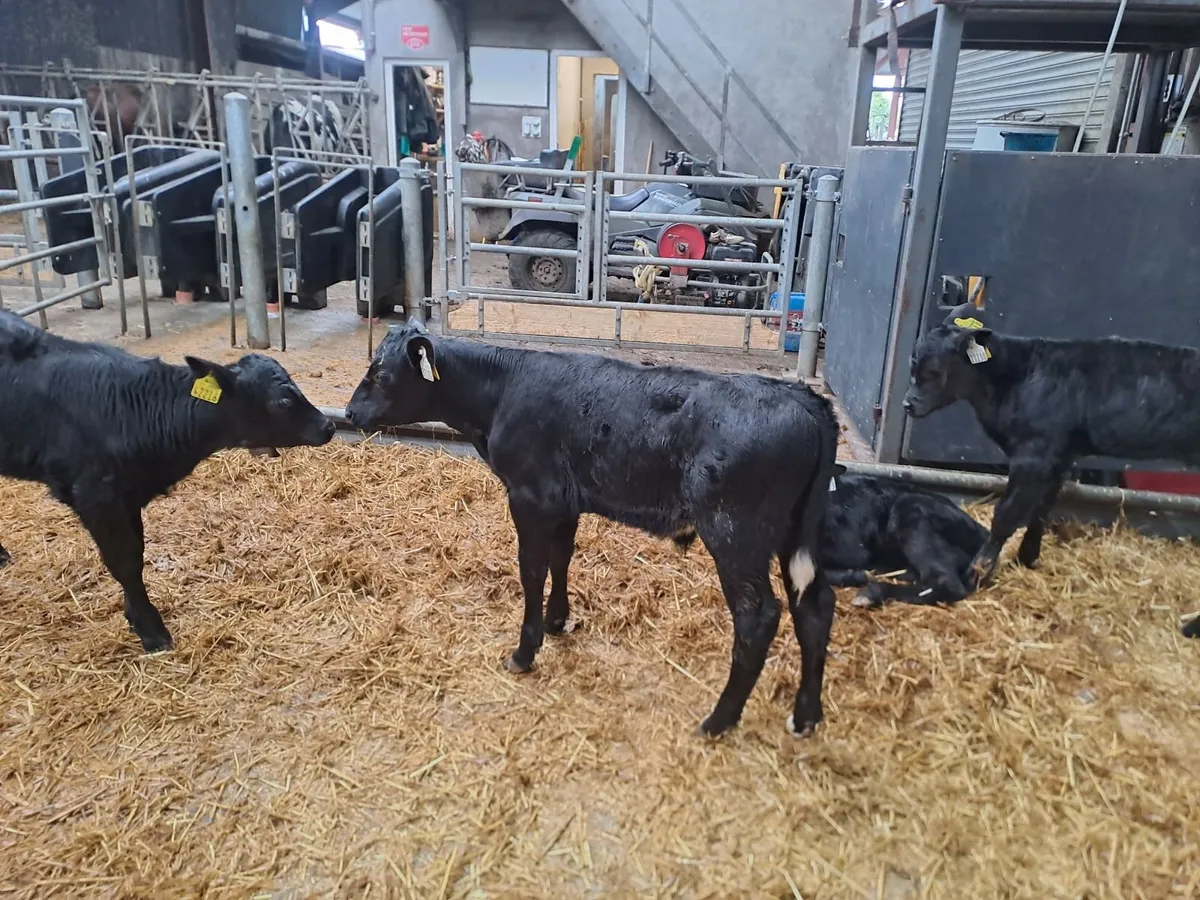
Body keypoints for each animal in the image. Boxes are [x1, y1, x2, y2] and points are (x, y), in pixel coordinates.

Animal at [0, 311, 336, 652]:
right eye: (283, 400)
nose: (329, 425)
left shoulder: (129, 494)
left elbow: (137, 553)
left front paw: (134, 616)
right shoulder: (96, 496)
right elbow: (124, 562)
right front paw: (151, 631)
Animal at [345, 320, 842, 737]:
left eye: (382, 375)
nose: (348, 413)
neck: (502, 391)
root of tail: (805, 400)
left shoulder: (529, 496)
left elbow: (532, 570)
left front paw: (525, 651)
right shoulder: (564, 502)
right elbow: (561, 559)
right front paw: (557, 620)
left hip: (736, 533)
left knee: (758, 618)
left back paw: (719, 720)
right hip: (794, 535)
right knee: (815, 606)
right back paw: (805, 715)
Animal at [904, 303, 1200, 639]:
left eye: (934, 372)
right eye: (912, 365)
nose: (907, 404)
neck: (1016, 380)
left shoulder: (1034, 454)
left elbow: (1007, 515)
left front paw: (976, 573)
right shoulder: (1059, 455)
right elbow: (1041, 509)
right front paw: (1026, 558)